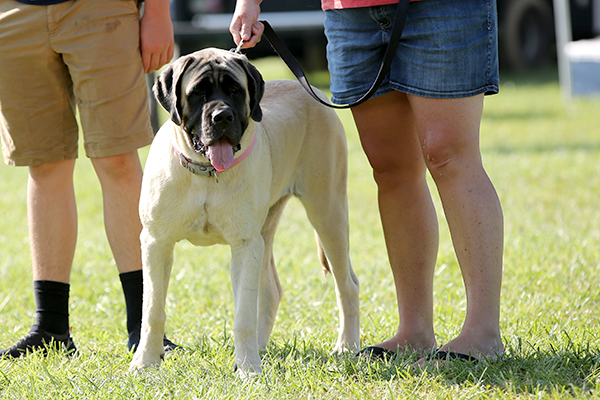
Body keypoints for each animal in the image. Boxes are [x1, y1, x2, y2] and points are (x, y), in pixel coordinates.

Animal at [129, 48, 360, 376]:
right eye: (198, 93)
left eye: (235, 91)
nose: (222, 116)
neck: (207, 173)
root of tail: (312, 91)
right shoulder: (155, 242)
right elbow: (152, 310)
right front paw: (145, 362)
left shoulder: (245, 244)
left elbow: (243, 315)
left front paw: (248, 369)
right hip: (268, 229)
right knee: (271, 289)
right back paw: (261, 347)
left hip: (327, 211)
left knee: (347, 285)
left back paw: (346, 347)